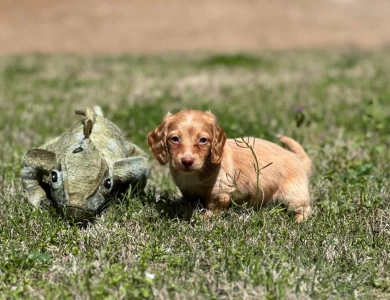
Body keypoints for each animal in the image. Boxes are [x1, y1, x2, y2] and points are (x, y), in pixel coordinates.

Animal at [148, 110, 312, 223]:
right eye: (175, 139)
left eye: (203, 140)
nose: (187, 161)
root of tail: (298, 159)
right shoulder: (187, 190)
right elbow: (190, 202)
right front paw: (187, 211)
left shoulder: (220, 190)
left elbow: (213, 207)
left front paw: (203, 217)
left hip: (292, 195)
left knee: (306, 209)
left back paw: (298, 220)